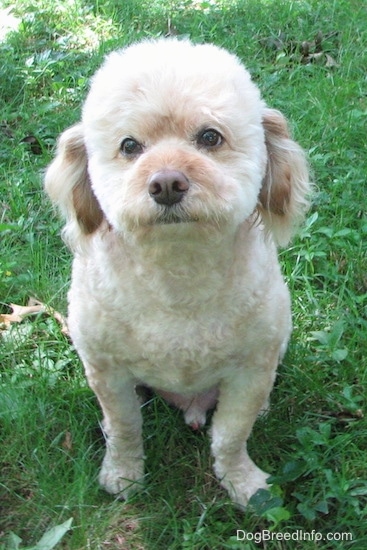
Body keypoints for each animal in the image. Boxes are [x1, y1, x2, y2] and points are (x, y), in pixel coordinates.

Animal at [44, 37, 312, 508]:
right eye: (129, 146)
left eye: (210, 137)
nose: (167, 183)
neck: (177, 271)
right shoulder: (107, 372)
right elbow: (124, 429)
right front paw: (123, 475)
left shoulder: (250, 371)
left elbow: (230, 436)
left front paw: (242, 482)